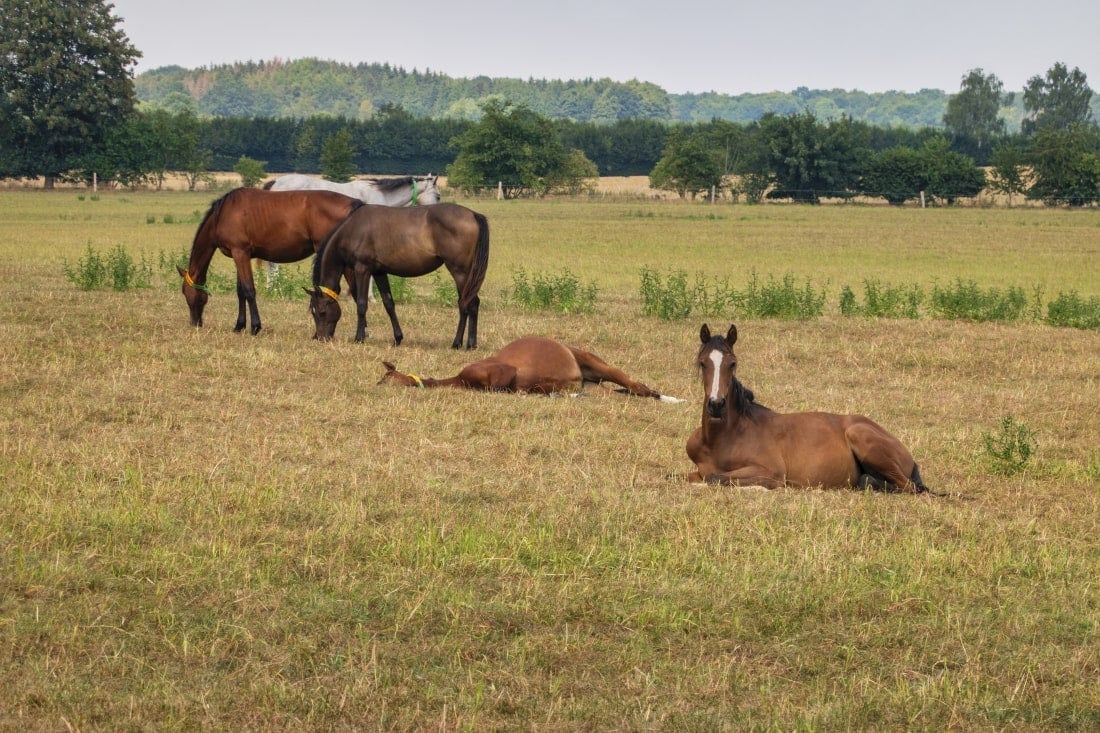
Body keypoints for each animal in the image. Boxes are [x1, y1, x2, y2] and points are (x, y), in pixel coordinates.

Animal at [178, 187, 362, 334]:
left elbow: (249, 291)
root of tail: (354, 205)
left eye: (185, 293)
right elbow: (240, 292)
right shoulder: (241, 256)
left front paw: (255, 327)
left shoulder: (240, 253)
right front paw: (239, 326)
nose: (195, 323)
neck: (223, 213)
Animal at [307, 202, 489, 349]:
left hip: (460, 272)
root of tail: (473, 214)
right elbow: (389, 304)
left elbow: (361, 304)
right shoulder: (379, 272)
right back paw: (468, 343)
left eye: (322, 312)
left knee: (468, 304)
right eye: (312, 312)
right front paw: (397, 338)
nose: (321, 338)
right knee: (470, 303)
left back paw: (461, 343)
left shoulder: (362, 269)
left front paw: (359, 338)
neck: (353, 229)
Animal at [685, 324, 930, 492]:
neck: (720, 438)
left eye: (733, 363)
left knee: (908, 487)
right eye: (702, 363)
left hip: (859, 434)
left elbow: (717, 479)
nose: (716, 405)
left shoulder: (771, 471)